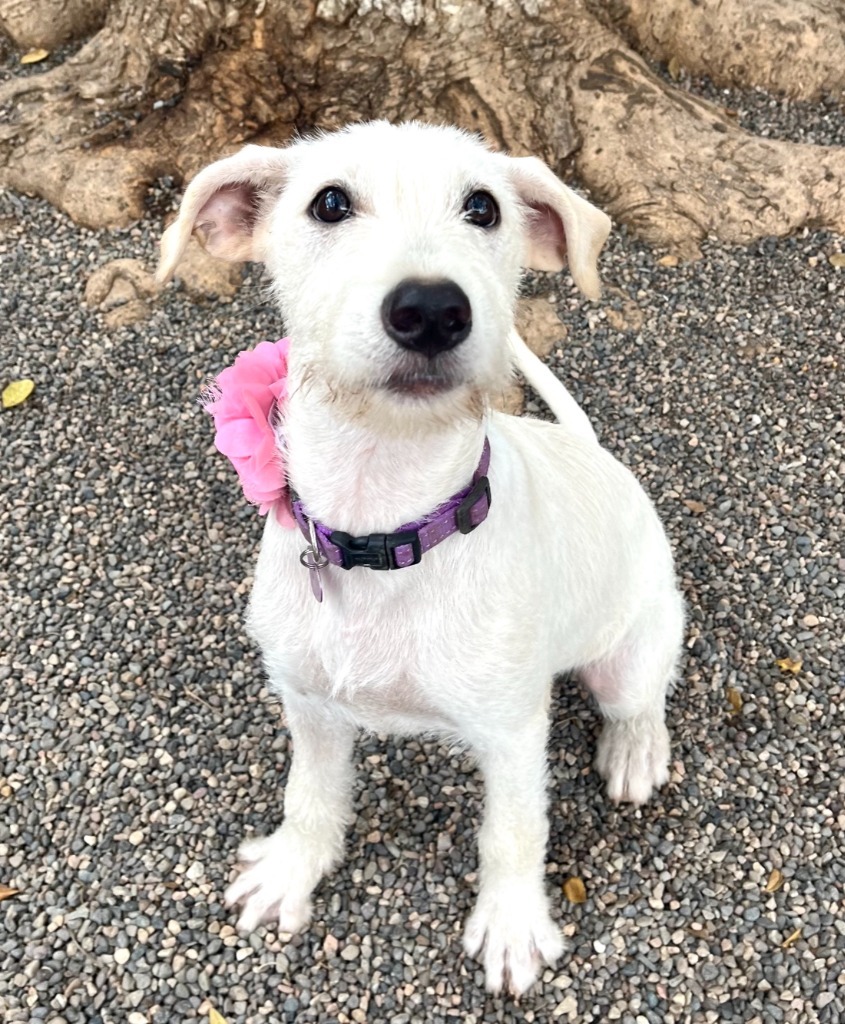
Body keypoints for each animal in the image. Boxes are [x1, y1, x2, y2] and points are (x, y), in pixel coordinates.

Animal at [159, 119, 684, 991]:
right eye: (328, 203)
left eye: (483, 207)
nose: (432, 309)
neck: (386, 531)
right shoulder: (308, 702)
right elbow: (309, 793)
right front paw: (292, 870)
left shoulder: (513, 733)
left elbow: (512, 832)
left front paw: (511, 926)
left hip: (633, 644)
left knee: (639, 699)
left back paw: (634, 748)